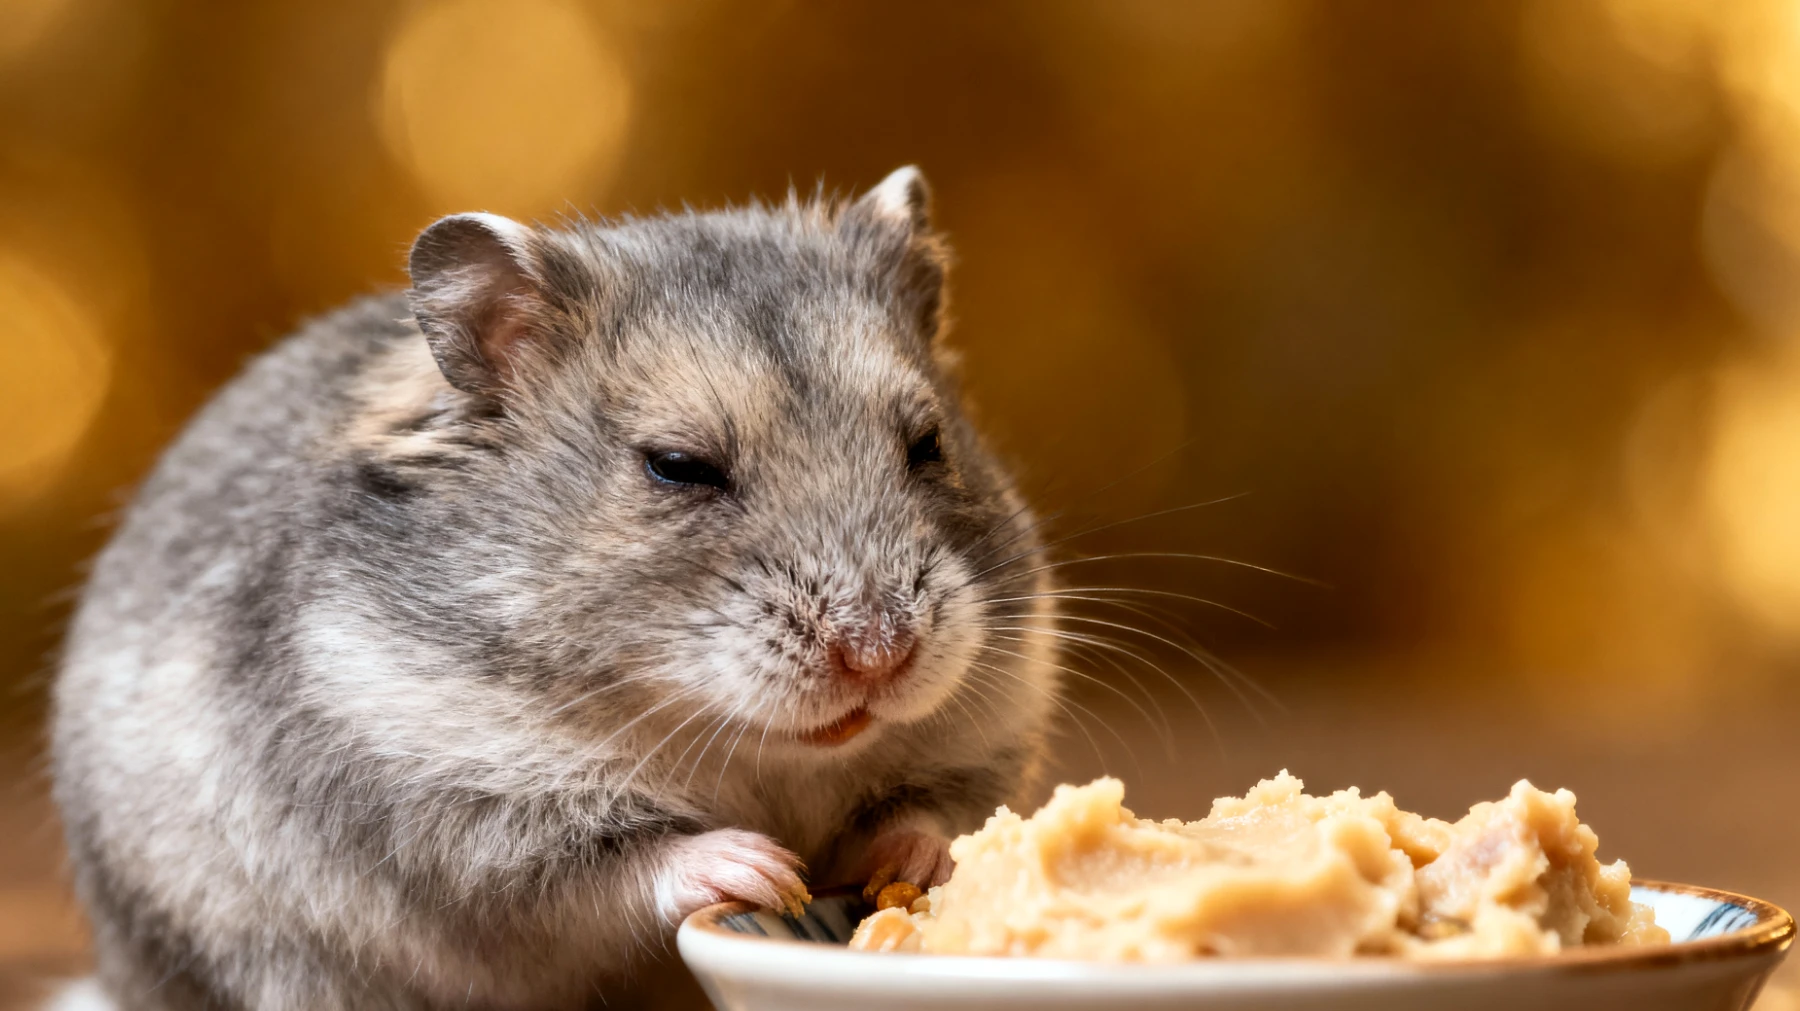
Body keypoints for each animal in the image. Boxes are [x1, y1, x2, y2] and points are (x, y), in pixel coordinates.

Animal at [49, 167, 1062, 1010]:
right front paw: (762, 868)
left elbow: (932, 808)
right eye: (677, 467)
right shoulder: (450, 807)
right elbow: (614, 865)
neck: (750, 746)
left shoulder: (989, 730)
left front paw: (920, 858)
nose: (879, 655)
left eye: (927, 444)